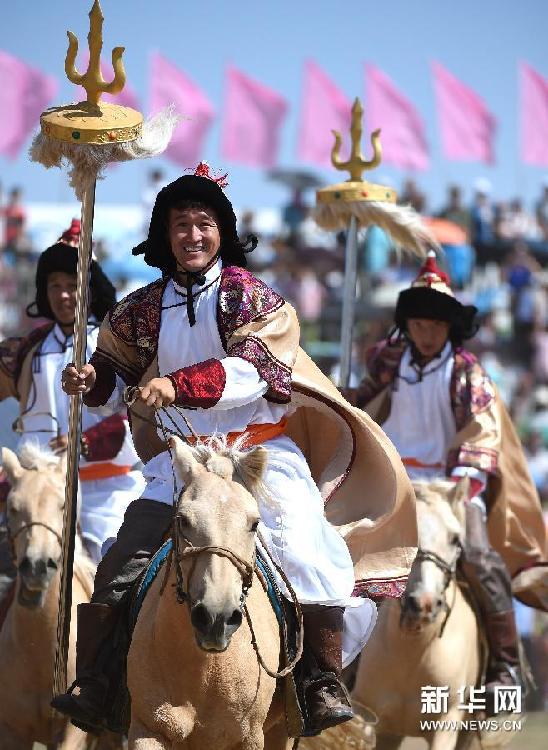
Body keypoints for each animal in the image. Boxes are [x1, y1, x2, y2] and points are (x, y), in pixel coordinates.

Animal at [127, 438, 294, 748]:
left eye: (254, 523)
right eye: (182, 519)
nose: (217, 618)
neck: (206, 671)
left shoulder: (250, 738)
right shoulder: (148, 727)